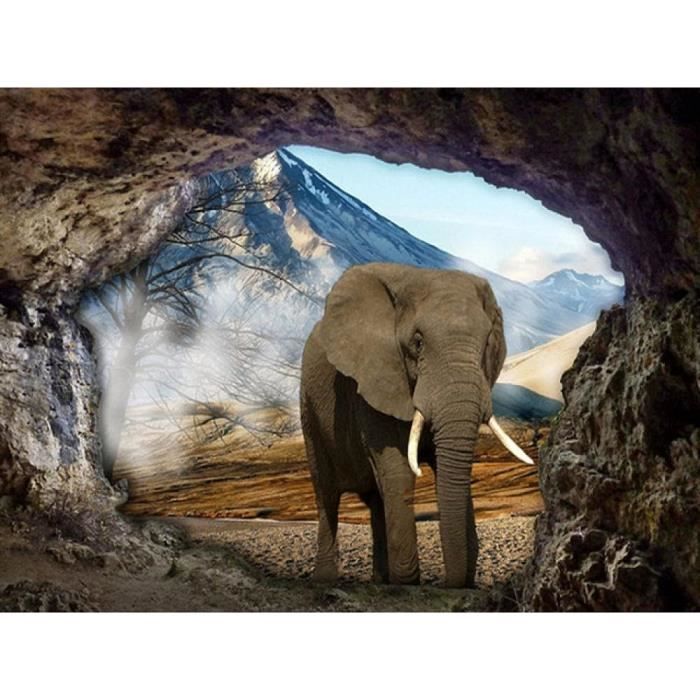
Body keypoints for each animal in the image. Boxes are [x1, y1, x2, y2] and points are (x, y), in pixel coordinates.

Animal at [300, 262, 534, 588]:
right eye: (418, 342)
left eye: (488, 342)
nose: (450, 584)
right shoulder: (373, 379)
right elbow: (398, 472)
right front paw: (408, 582)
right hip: (308, 408)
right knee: (327, 496)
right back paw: (326, 580)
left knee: (376, 501)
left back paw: (381, 581)